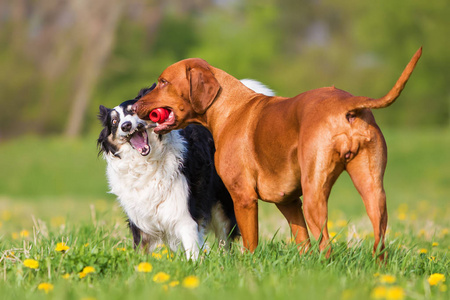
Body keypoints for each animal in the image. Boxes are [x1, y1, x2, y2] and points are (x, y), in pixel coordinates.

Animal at [97, 80, 274, 260]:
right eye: (114, 122)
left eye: (133, 111)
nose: (126, 126)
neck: (146, 163)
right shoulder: (139, 222)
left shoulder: (184, 215)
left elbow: (192, 249)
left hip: (223, 204)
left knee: (224, 239)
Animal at [134, 47, 422, 258]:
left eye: (163, 82)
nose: (135, 105)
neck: (229, 107)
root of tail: (348, 104)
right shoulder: (289, 201)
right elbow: (303, 242)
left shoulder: (244, 198)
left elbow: (250, 244)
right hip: (373, 190)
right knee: (378, 240)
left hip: (315, 193)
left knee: (327, 244)